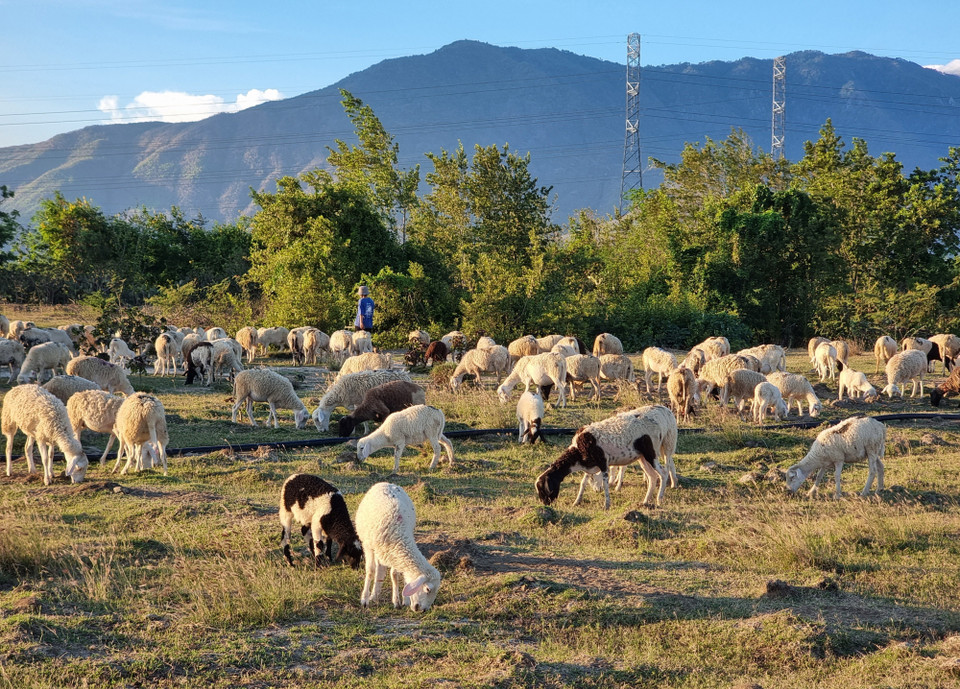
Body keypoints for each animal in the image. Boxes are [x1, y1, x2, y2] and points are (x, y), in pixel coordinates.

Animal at [355, 482, 441, 611]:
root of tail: (387, 483)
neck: (399, 533)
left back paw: (376, 595)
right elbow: (370, 571)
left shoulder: (394, 552)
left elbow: (394, 575)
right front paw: (364, 600)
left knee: (381, 568)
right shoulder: (368, 546)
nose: (423, 610)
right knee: (377, 568)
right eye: (427, 589)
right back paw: (373, 595)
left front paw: (398, 601)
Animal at [535, 405, 678, 510]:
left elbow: (605, 484)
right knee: (653, 477)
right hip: (642, 457)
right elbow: (583, 483)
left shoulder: (603, 462)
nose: (545, 504)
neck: (577, 452)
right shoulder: (590, 465)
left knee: (663, 473)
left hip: (652, 452)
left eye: (543, 489)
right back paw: (645, 502)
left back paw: (659, 499)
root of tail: (664, 411)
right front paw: (577, 501)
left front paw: (606, 505)